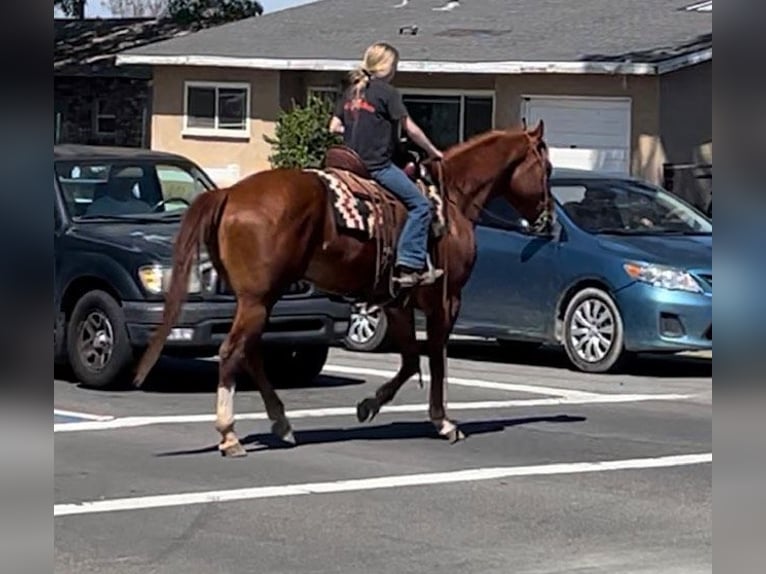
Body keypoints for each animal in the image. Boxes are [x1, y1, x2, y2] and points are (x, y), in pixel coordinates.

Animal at [134, 121, 552, 460]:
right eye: (546, 168)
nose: (548, 221)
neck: (452, 201)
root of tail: (230, 194)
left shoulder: (397, 302)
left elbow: (410, 360)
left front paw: (370, 405)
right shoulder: (446, 300)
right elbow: (435, 358)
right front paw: (443, 422)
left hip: (258, 300)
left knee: (250, 353)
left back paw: (282, 424)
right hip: (257, 300)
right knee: (232, 351)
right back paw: (230, 434)